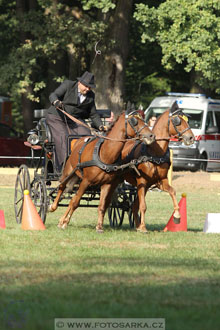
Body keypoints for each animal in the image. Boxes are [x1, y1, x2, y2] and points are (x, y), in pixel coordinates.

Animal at [120, 100, 194, 232]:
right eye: (178, 121)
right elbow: (143, 206)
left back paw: (137, 225)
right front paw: (144, 227)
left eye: (187, 120)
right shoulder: (142, 181)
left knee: (134, 206)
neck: (154, 153)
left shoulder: (160, 181)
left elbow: (172, 191)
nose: (191, 138)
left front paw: (177, 216)